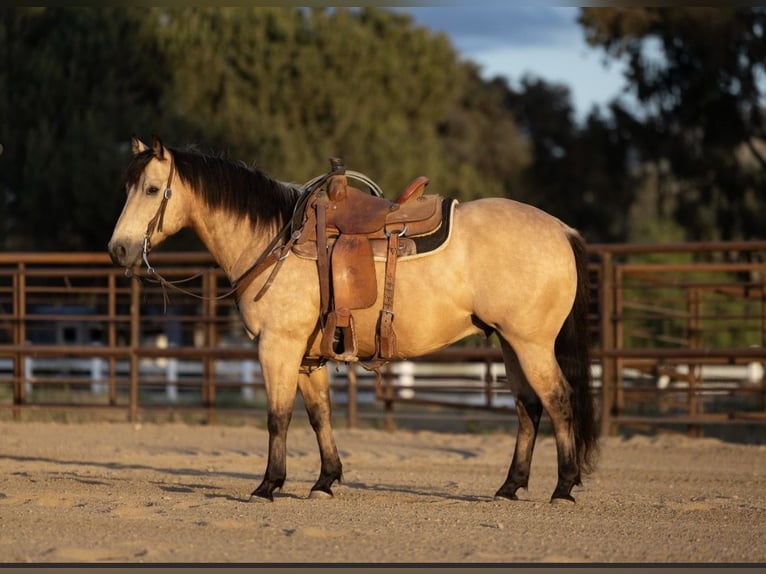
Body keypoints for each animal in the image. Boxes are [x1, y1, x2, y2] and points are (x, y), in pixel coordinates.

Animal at [108, 135, 599, 504]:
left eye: (151, 189)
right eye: (126, 187)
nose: (119, 250)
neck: (274, 239)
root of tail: (561, 230)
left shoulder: (278, 346)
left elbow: (277, 416)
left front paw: (268, 485)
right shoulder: (307, 357)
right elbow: (319, 414)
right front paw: (325, 480)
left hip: (531, 344)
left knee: (558, 400)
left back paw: (563, 487)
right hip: (509, 343)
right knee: (528, 407)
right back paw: (510, 486)